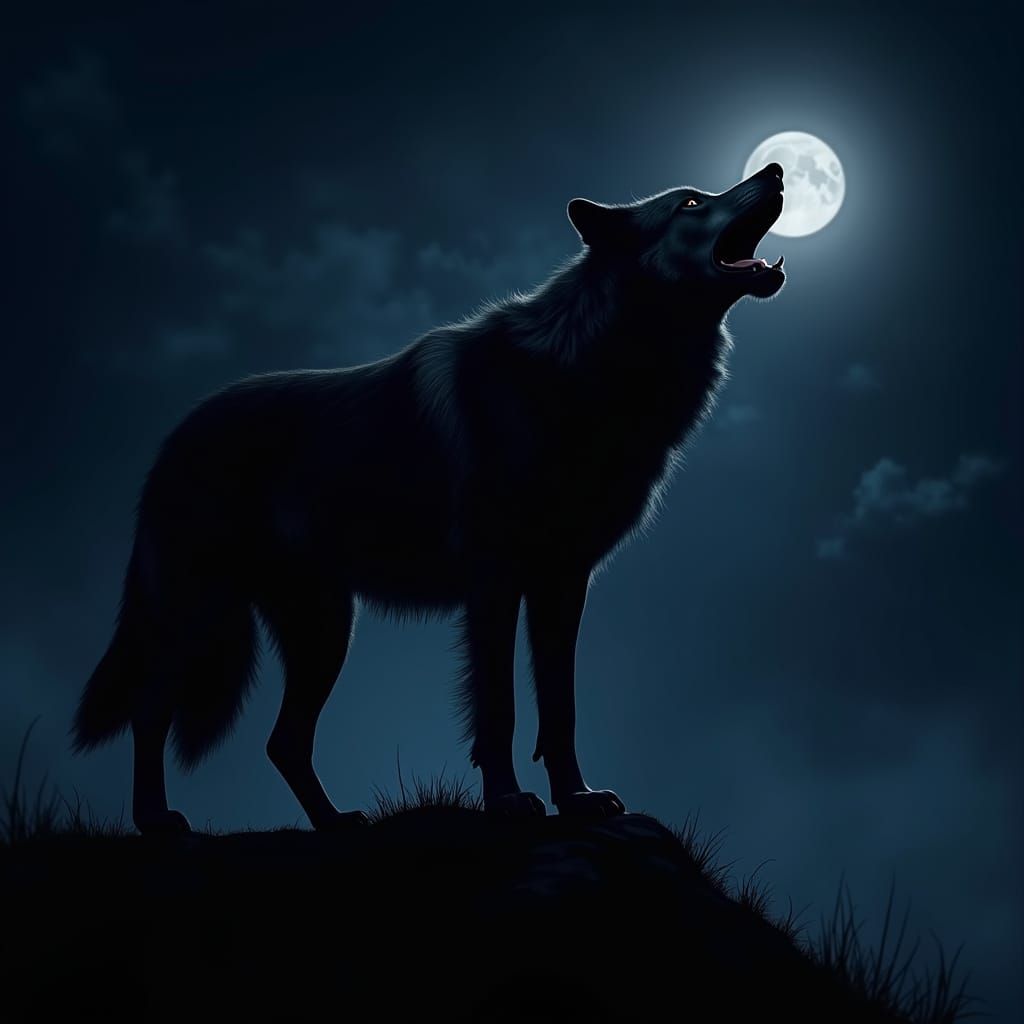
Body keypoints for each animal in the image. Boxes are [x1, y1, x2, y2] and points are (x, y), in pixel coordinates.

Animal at [72, 163, 786, 834]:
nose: (778, 171)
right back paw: (156, 820)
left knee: (283, 742)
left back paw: (335, 823)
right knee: (149, 710)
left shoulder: (562, 582)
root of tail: (173, 439)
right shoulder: (495, 581)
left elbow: (560, 711)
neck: (593, 375)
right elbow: (499, 709)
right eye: (690, 202)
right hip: (209, 619)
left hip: (324, 632)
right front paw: (508, 803)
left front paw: (577, 801)